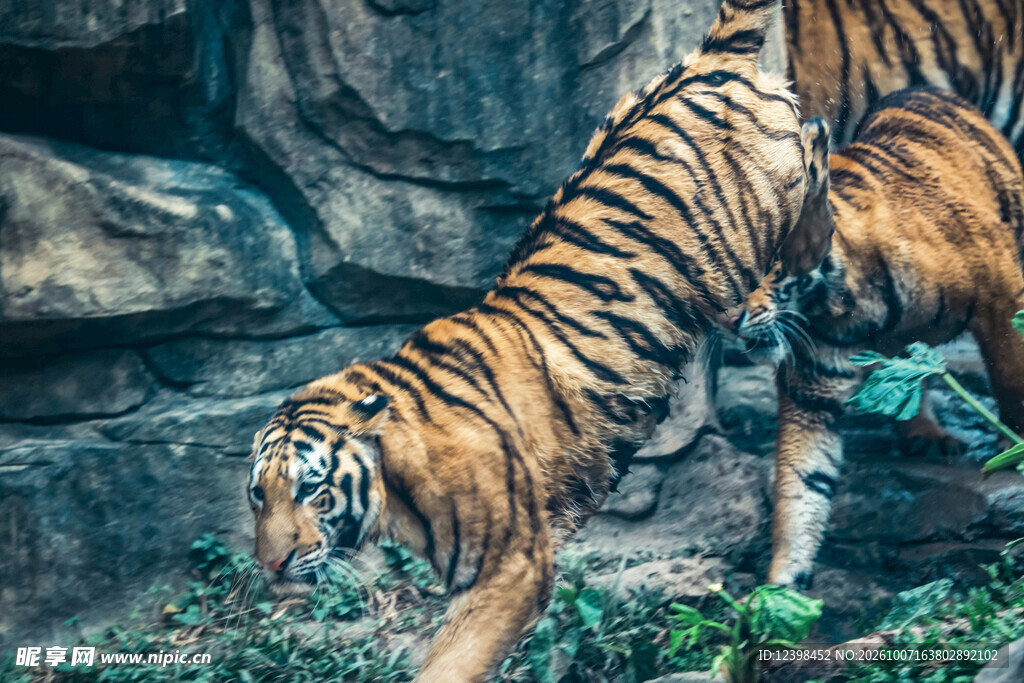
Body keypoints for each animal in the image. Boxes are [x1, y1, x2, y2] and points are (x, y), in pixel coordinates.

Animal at [246, 1, 812, 679]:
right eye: (259, 496)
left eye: (311, 488)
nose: (271, 565)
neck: (395, 482)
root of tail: (714, 55)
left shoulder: (509, 567)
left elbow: (450, 662)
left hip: (774, 203)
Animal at [721, 86, 1024, 590]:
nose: (725, 322)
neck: (839, 305)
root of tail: (924, 90)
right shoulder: (812, 392)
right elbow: (801, 486)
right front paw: (780, 589)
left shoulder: (1000, 293)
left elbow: (1009, 378)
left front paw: (1012, 450)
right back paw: (925, 435)